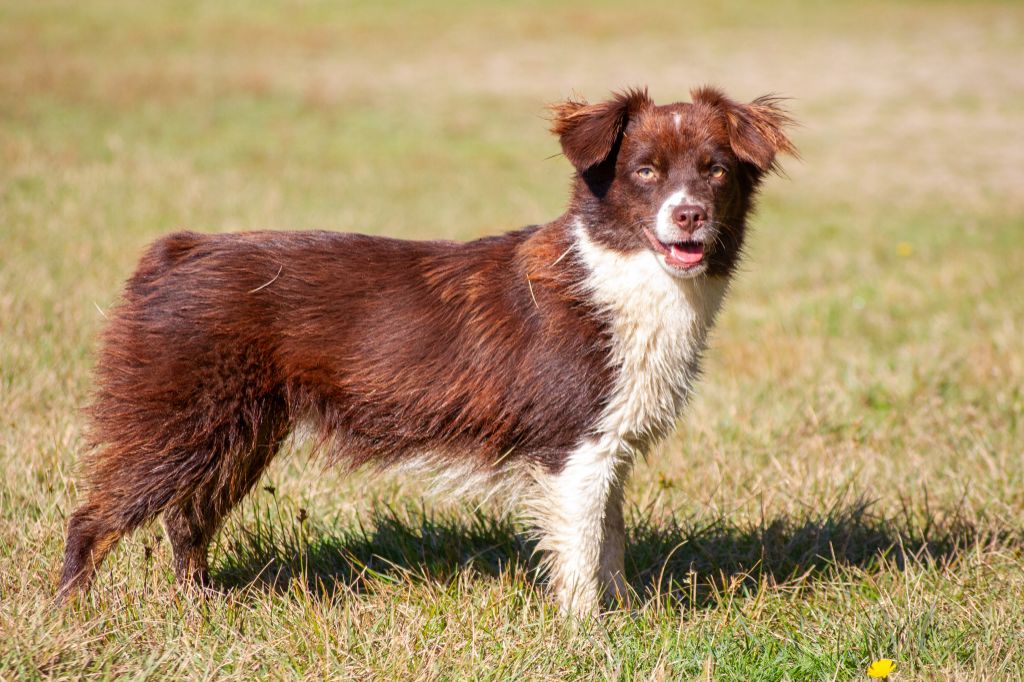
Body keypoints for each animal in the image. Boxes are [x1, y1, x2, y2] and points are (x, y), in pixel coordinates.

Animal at [56, 84, 794, 610]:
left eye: (716, 171)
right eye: (644, 172)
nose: (689, 214)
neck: (619, 274)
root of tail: (179, 249)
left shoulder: (608, 449)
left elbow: (608, 543)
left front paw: (629, 617)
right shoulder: (573, 448)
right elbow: (582, 553)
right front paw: (589, 635)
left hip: (238, 434)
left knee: (188, 524)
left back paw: (201, 606)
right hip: (177, 422)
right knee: (94, 519)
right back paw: (74, 613)